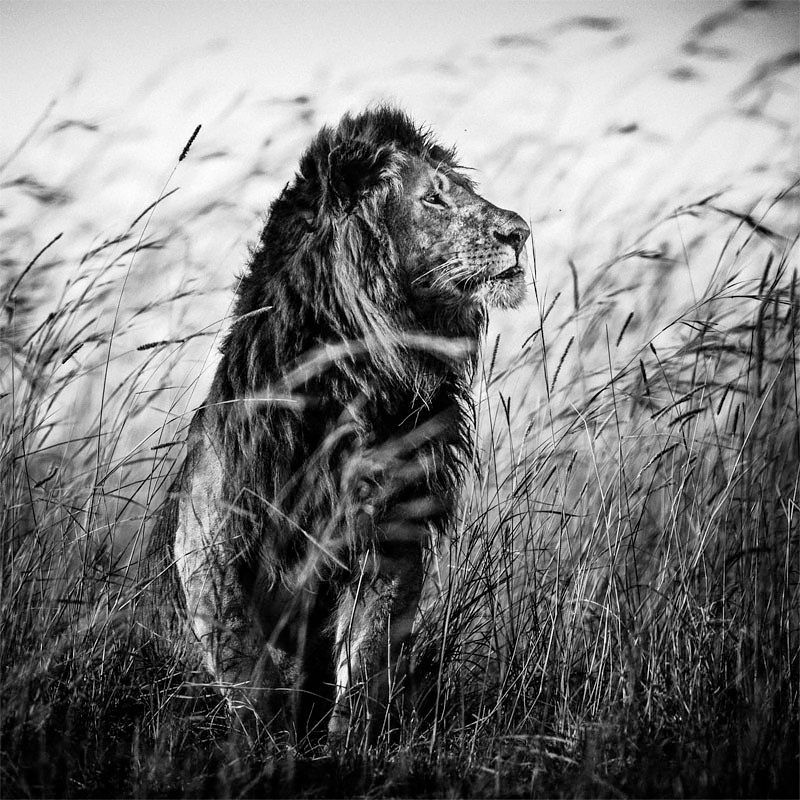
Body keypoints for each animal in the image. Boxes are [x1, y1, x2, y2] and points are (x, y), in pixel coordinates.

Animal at [145, 103, 532, 748]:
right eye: (434, 198)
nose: (521, 233)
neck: (357, 380)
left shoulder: (389, 536)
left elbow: (368, 658)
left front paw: (345, 747)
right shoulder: (211, 539)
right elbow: (247, 664)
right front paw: (267, 747)